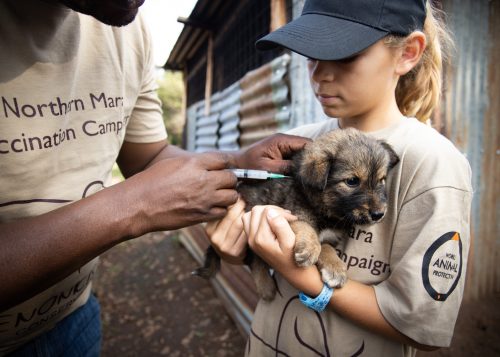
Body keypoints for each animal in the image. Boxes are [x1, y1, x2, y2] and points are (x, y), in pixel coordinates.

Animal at [194, 128, 398, 300]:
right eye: (352, 181)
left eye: (381, 180)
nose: (379, 214)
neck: (325, 211)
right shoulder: (288, 213)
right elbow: (307, 228)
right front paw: (310, 248)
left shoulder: (330, 237)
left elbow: (327, 247)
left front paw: (335, 268)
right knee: (254, 259)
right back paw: (266, 287)